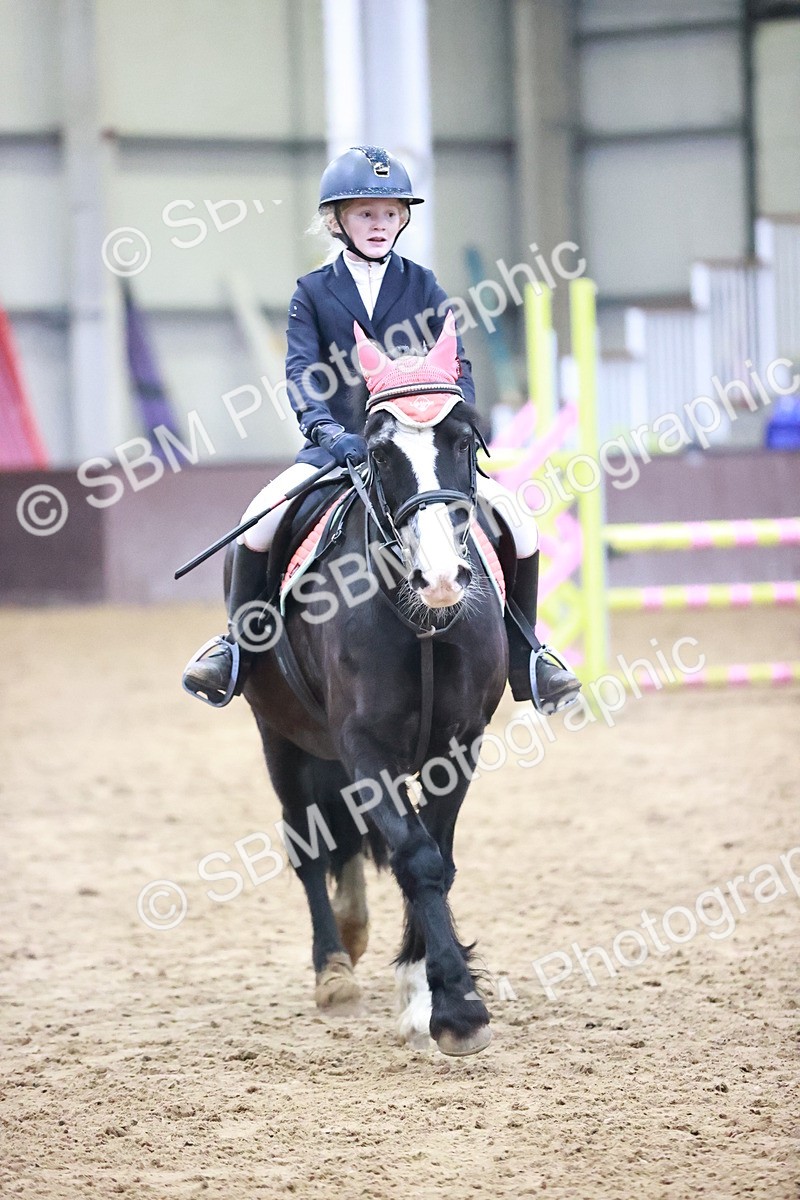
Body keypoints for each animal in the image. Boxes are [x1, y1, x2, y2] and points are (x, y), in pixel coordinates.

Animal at [237, 314, 509, 1056]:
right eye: (381, 454)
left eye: (462, 438)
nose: (442, 579)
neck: (424, 625)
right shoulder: (364, 746)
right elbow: (414, 855)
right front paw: (456, 1010)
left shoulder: (459, 746)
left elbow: (436, 855)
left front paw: (425, 990)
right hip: (280, 739)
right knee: (306, 842)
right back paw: (334, 966)